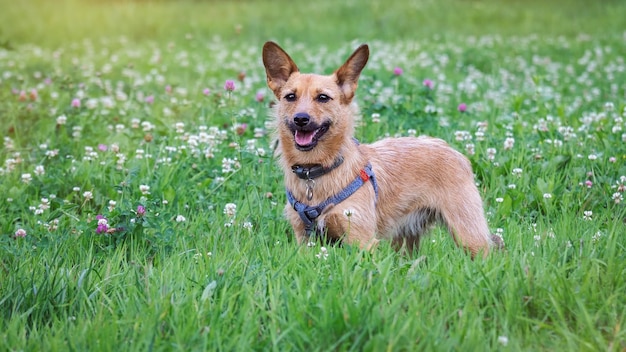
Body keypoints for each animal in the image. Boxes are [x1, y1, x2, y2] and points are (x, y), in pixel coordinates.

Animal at [260, 41, 500, 258]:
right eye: (290, 97)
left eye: (323, 98)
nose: (301, 119)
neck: (315, 171)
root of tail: (452, 149)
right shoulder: (304, 240)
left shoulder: (361, 241)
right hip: (405, 238)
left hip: (468, 235)